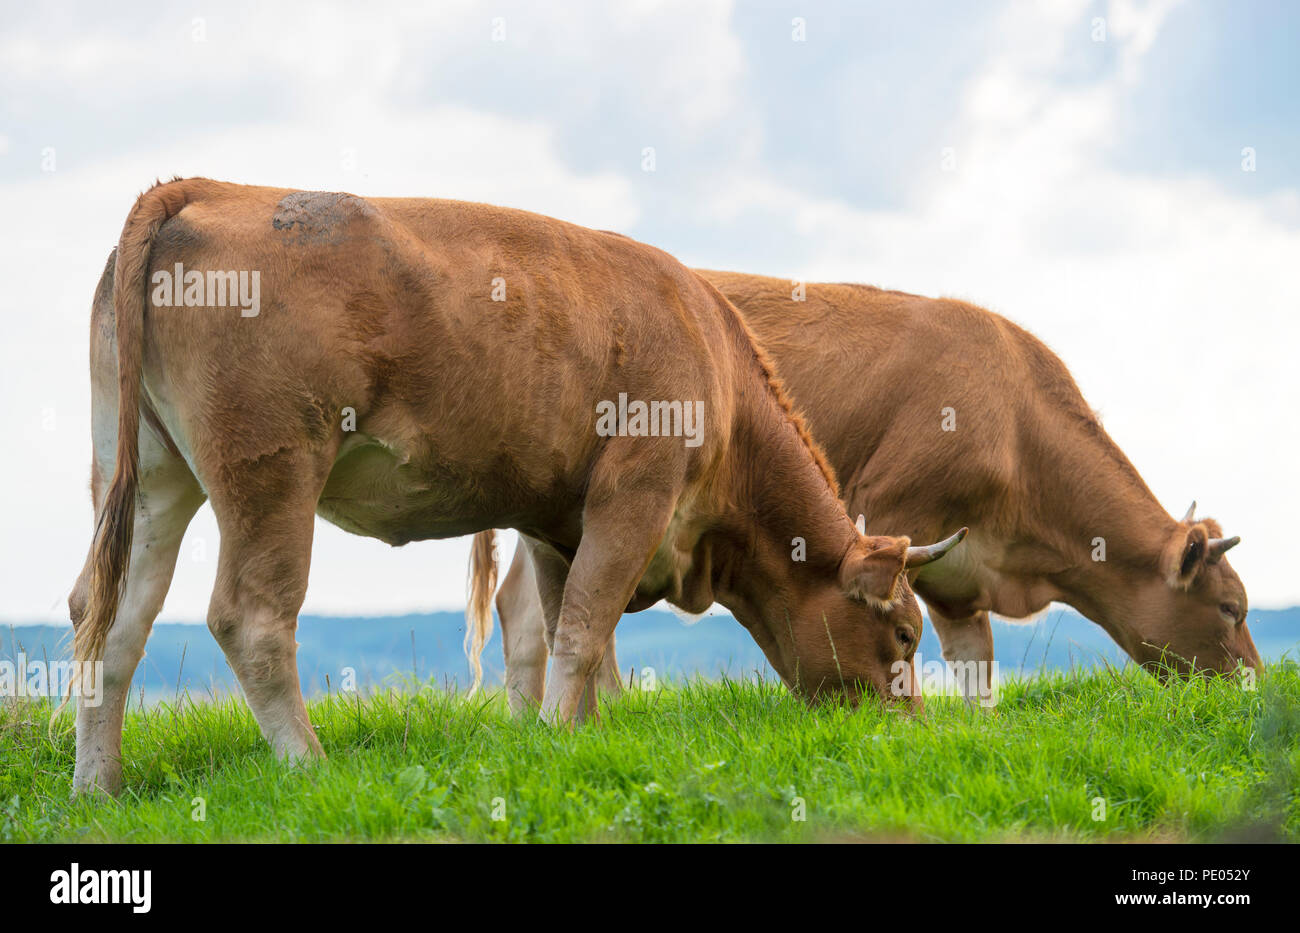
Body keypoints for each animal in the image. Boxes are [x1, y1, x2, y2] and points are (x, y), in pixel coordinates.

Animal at [66, 179, 965, 795]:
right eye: (905, 635)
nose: (913, 730)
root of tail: (212, 187)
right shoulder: (634, 492)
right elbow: (586, 624)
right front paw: (567, 734)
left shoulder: (555, 517)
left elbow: (555, 623)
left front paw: (566, 734)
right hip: (271, 471)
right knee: (249, 617)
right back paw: (308, 766)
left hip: (148, 475)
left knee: (110, 615)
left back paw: (98, 786)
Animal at [469, 270, 1258, 711]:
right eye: (1230, 608)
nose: (1258, 687)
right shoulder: (892, 512)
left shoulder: (960, 573)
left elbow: (977, 667)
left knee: (529, 605)